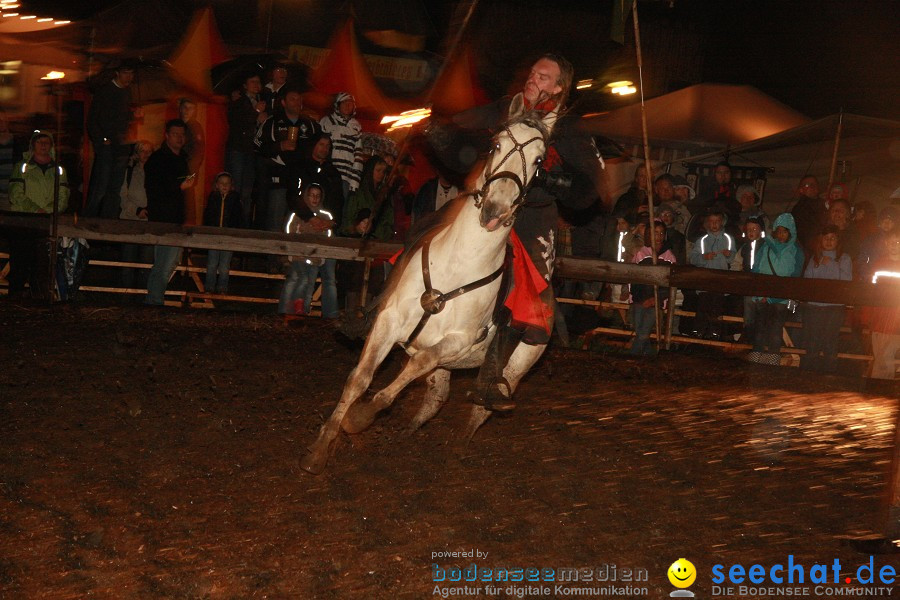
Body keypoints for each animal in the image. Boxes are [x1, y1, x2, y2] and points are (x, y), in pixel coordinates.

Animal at [302, 94, 556, 476]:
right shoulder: (389, 321)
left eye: (540, 161)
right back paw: (406, 434)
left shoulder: (456, 342)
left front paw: (360, 417)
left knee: (481, 405)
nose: (494, 210)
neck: (460, 263)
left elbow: (412, 367)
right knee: (436, 397)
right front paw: (321, 446)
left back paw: (458, 446)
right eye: (495, 144)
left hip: (517, 365)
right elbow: (360, 378)